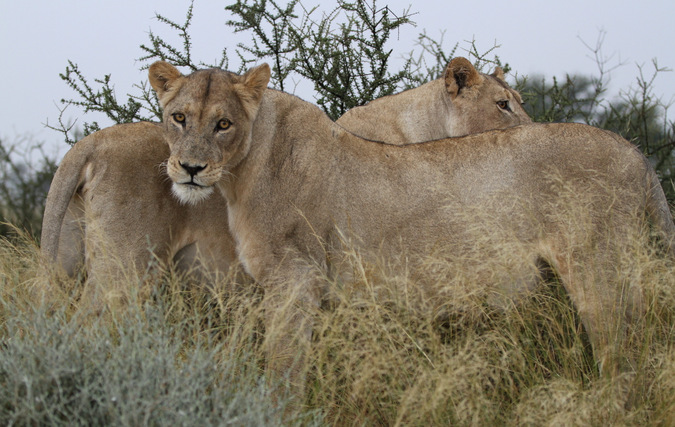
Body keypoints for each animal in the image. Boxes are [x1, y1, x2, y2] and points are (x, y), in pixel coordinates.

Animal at [42, 57, 532, 298]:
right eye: (503, 104)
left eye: (519, 100)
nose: (536, 125)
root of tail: (94, 140)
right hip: (122, 269)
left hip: (69, 259)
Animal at [149, 61, 675, 402]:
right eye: (179, 118)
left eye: (223, 123)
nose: (190, 168)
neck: (244, 170)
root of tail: (636, 152)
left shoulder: (296, 280)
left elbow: (284, 367)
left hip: (600, 270)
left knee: (625, 355)